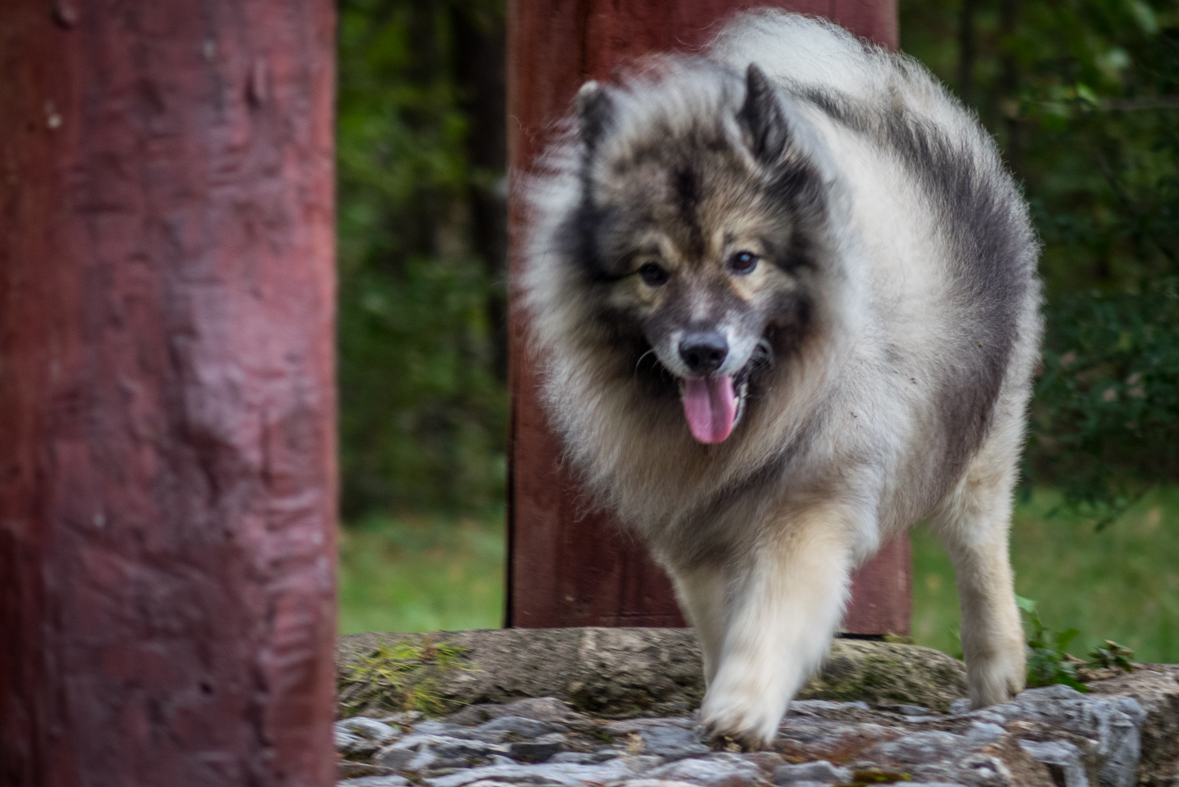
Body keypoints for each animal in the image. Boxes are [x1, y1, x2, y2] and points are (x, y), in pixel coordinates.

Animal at [521, 12, 1037, 749]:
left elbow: (769, 618)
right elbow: (721, 621)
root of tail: (884, 100)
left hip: (981, 439)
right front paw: (721, 691)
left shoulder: (805, 509)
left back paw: (997, 670)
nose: (703, 350)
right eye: (652, 272)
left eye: (743, 260)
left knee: (981, 549)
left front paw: (740, 707)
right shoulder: (699, 535)